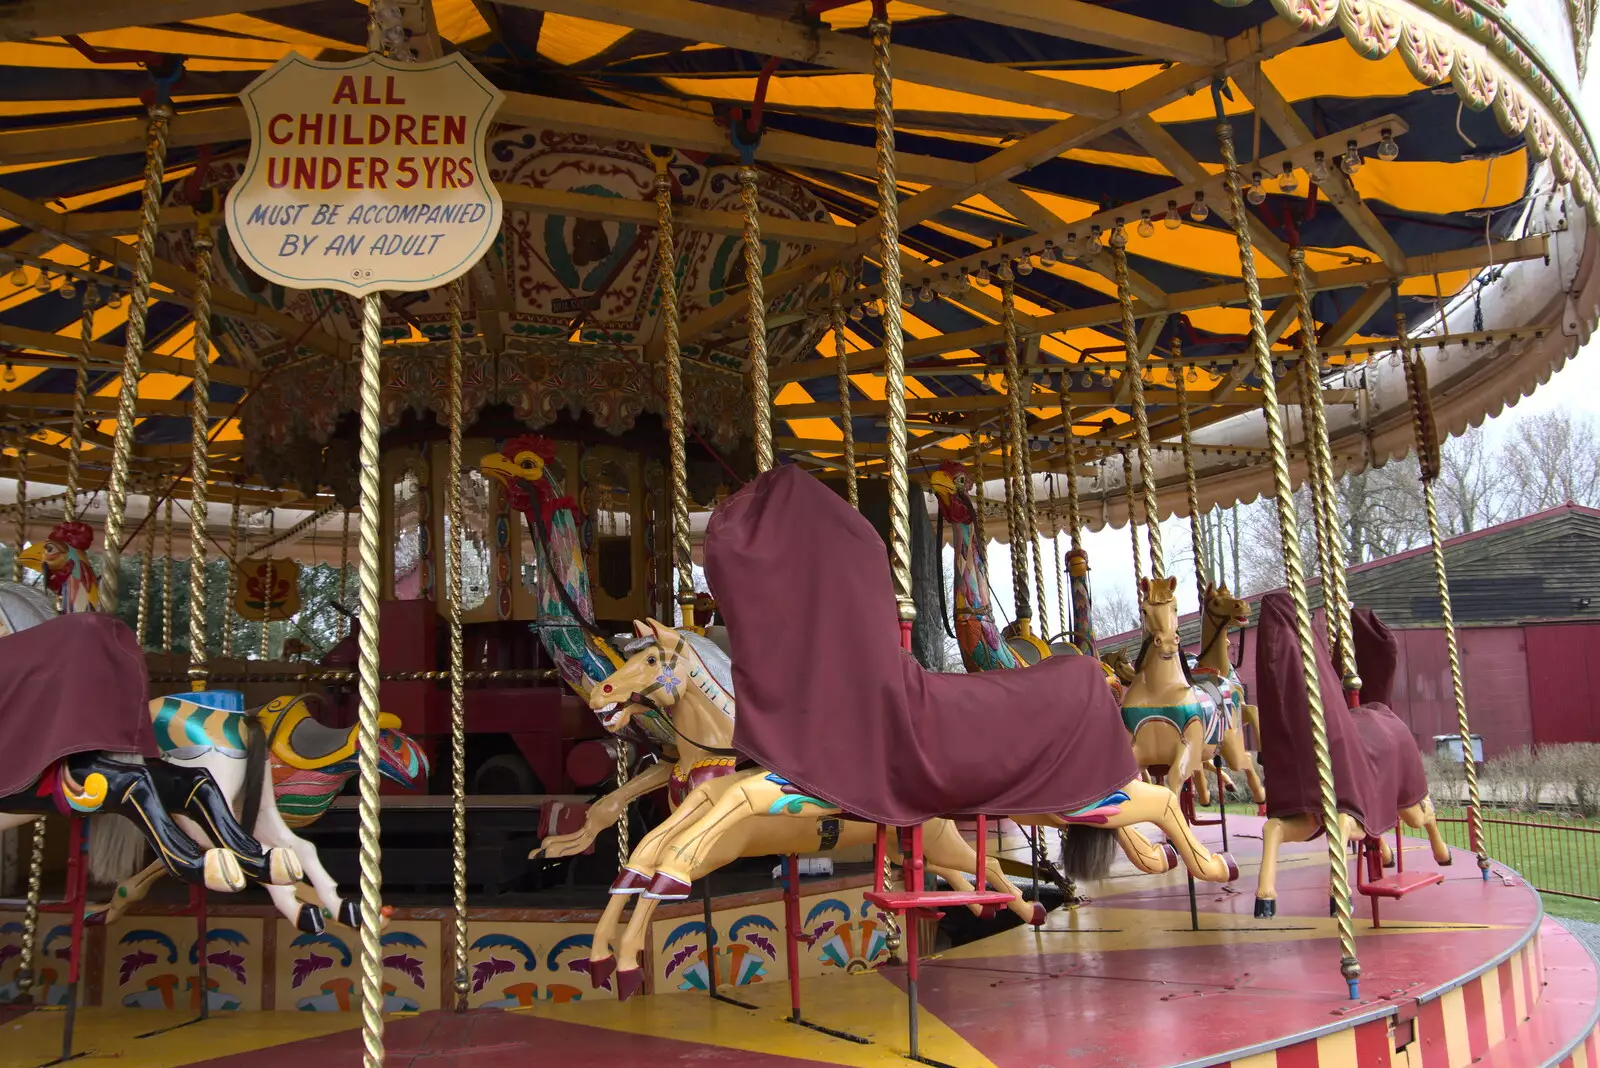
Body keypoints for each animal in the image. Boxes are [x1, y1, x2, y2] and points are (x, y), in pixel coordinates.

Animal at [576, 466, 1235, 1004]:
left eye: (650, 658)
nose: (599, 694)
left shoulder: (770, 796)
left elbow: (681, 849)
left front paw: (627, 955)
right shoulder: (720, 799)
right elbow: (653, 848)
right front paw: (608, 956)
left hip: (1075, 798)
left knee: (1152, 798)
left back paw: (1204, 863)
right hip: (999, 820)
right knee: (1016, 860)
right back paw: (1049, 897)